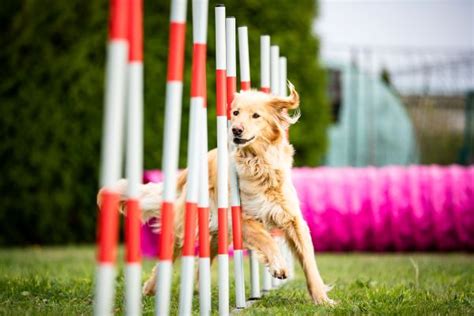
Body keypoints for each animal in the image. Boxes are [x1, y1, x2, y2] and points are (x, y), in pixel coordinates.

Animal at [101, 82, 334, 304]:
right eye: (236, 113)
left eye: (256, 115)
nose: (236, 130)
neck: (258, 163)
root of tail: (197, 163)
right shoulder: (239, 217)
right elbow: (266, 239)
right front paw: (279, 266)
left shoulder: (293, 219)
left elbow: (309, 259)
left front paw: (322, 299)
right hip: (188, 225)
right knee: (169, 254)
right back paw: (151, 288)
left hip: (216, 234)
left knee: (201, 261)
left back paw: (197, 290)